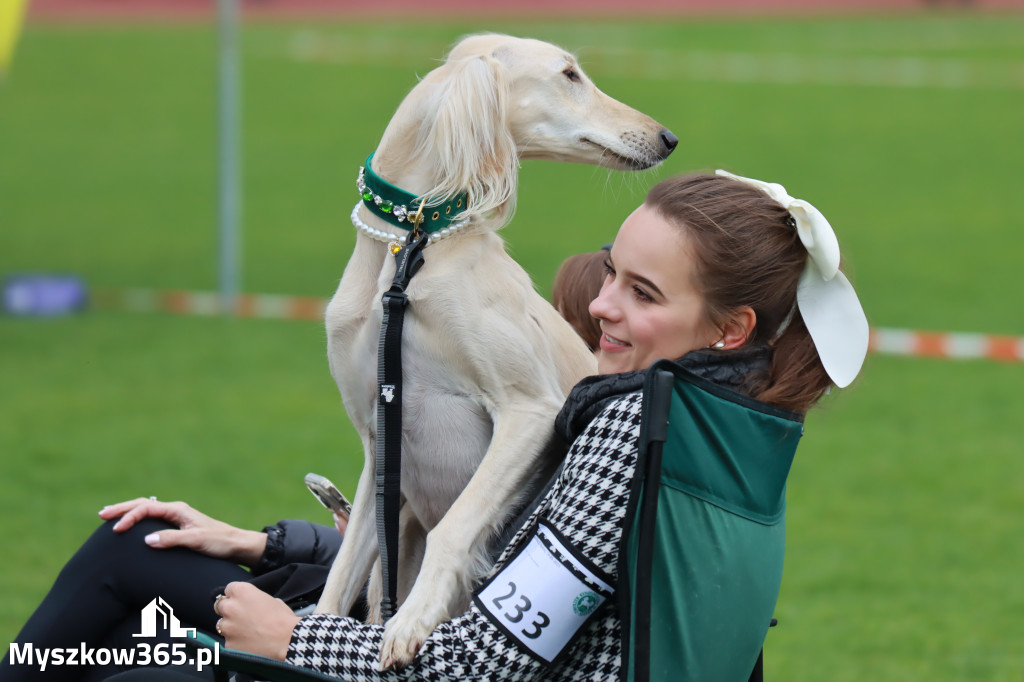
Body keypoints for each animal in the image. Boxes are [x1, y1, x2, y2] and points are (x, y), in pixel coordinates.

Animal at [315, 34, 675, 667]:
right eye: (569, 75)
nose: (666, 138)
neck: (410, 250)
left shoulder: (530, 410)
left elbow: (455, 529)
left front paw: (411, 621)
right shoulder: (377, 439)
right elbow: (339, 580)